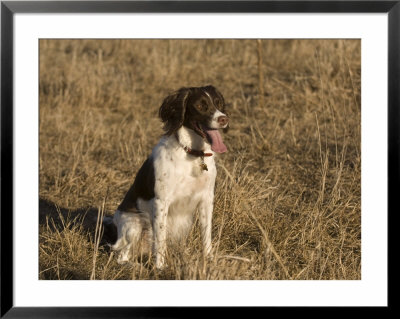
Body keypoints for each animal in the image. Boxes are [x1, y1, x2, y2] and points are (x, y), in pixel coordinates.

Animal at [110, 85, 228, 270]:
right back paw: (135, 267)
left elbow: (206, 235)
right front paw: (160, 267)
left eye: (219, 103)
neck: (193, 154)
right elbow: (160, 239)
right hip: (134, 224)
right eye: (200, 106)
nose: (223, 119)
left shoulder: (206, 200)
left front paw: (208, 259)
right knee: (121, 255)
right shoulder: (161, 202)